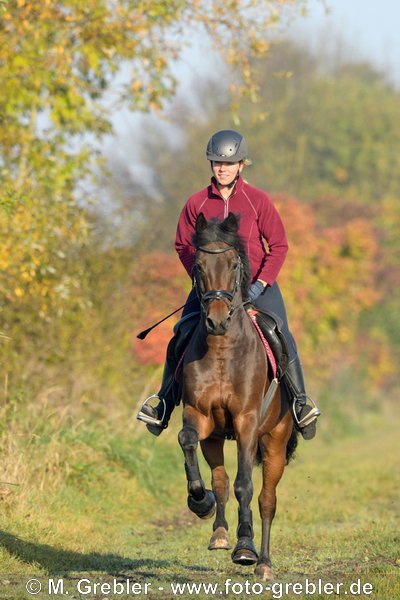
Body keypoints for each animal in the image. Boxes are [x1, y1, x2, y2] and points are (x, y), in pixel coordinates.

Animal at [178, 212, 296, 580]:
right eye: (198, 265)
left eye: (233, 264)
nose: (216, 319)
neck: (221, 351)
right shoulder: (198, 415)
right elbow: (186, 440)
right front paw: (198, 500)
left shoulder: (246, 422)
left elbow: (246, 484)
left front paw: (245, 546)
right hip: (215, 437)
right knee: (220, 480)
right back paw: (218, 532)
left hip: (274, 442)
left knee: (267, 499)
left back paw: (264, 564)